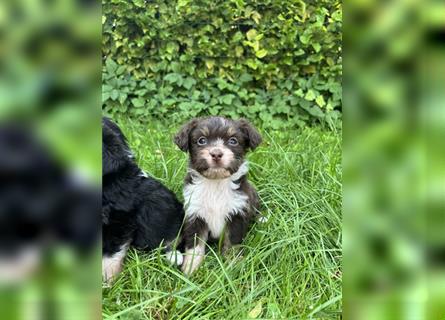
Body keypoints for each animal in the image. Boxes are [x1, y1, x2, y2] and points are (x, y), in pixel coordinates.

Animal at [173, 116, 262, 274]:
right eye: (201, 140)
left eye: (233, 141)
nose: (216, 154)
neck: (215, 184)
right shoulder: (195, 214)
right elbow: (195, 246)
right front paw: (191, 267)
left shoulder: (237, 213)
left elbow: (232, 243)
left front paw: (233, 265)